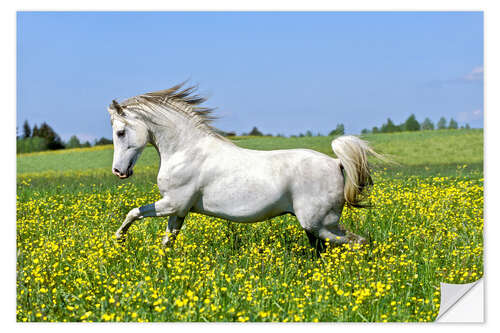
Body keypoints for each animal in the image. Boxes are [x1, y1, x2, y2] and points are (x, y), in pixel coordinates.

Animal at [108, 83, 382, 252]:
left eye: (120, 132)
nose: (119, 172)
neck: (186, 150)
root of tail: (336, 162)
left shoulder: (172, 203)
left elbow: (133, 212)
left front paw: (119, 239)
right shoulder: (179, 210)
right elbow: (167, 241)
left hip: (321, 224)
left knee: (358, 242)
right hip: (316, 226)